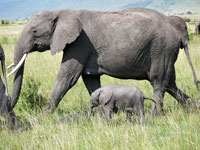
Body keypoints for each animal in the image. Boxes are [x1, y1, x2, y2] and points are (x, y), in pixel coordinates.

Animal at [7, 7, 198, 115]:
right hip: (165, 52)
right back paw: (194, 107)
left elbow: (67, 78)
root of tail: (177, 31)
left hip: (161, 48)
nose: (9, 106)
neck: (59, 12)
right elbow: (90, 81)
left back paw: (155, 115)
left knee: (159, 82)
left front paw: (44, 118)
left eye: (34, 31)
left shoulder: (79, 43)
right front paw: (100, 115)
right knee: (170, 83)